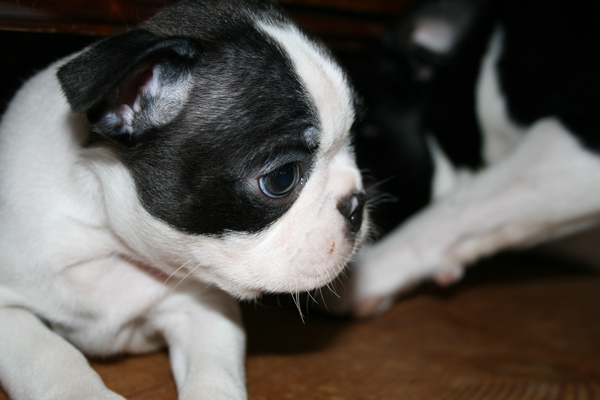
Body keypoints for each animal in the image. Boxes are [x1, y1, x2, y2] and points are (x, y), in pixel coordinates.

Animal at [0, 0, 368, 398]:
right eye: (281, 179)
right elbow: (51, 355)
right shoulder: (9, 309)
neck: (111, 243)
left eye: (353, 143)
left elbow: (213, 376)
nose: (357, 204)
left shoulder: (205, 307)